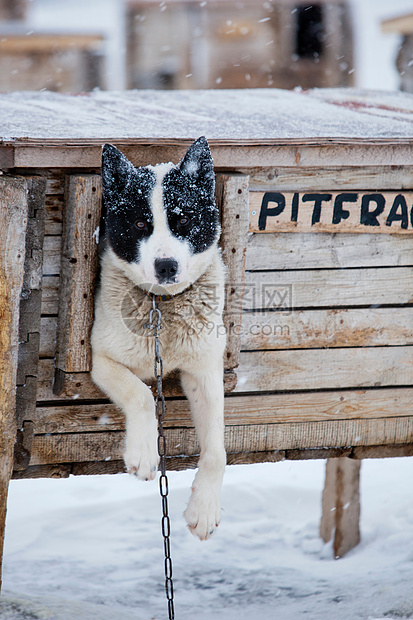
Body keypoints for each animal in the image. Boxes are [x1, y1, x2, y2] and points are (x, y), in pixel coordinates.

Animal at [91, 138, 225, 540]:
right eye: (139, 223)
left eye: (183, 220)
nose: (166, 266)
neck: (163, 305)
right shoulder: (100, 360)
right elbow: (140, 394)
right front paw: (144, 454)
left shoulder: (205, 371)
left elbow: (217, 451)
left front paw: (204, 509)